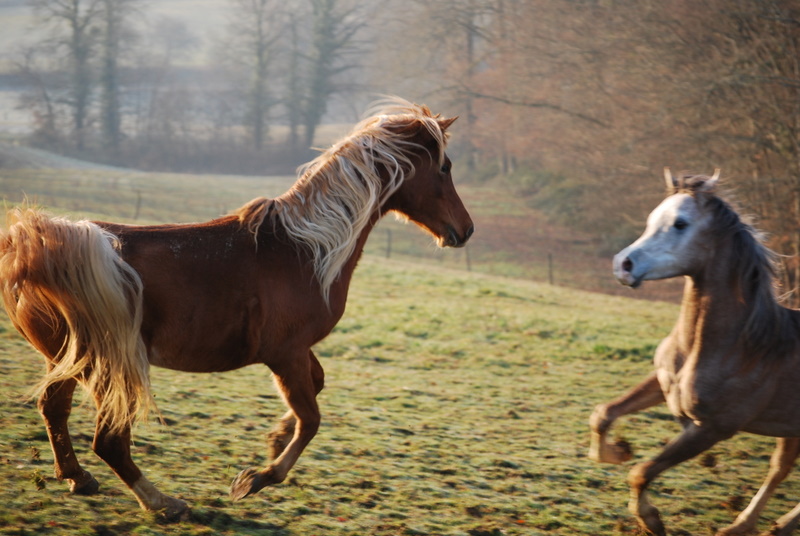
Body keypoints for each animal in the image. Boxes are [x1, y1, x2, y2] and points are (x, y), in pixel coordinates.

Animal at [0, 98, 476, 516]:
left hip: (67, 358)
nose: (466, 230)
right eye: (445, 168)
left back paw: (78, 478)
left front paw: (275, 437)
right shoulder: (285, 354)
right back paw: (164, 503)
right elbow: (311, 418)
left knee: (54, 409)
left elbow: (315, 389)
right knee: (110, 441)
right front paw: (257, 478)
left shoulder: (296, 352)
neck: (305, 250)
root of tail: (34, 252)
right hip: (109, 362)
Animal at [588, 169, 800, 536]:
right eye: (651, 220)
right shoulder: (661, 384)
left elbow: (641, 473)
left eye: (680, 224)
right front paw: (616, 452)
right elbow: (603, 414)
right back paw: (752, 526)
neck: (736, 348)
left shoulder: (711, 428)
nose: (622, 265)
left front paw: (651, 520)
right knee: (779, 468)